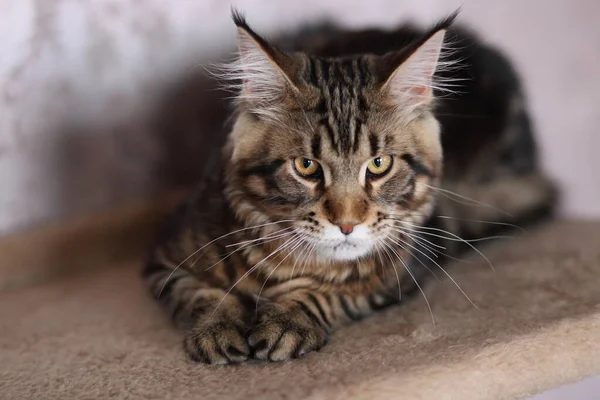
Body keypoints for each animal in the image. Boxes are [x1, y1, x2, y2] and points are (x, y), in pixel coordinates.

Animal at [142, 10, 556, 366]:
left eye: (379, 164)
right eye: (306, 166)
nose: (346, 224)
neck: (289, 263)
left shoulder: (402, 271)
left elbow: (331, 295)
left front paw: (287, 321)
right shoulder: (164, 261)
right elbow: (201, 294)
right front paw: (217, 328)